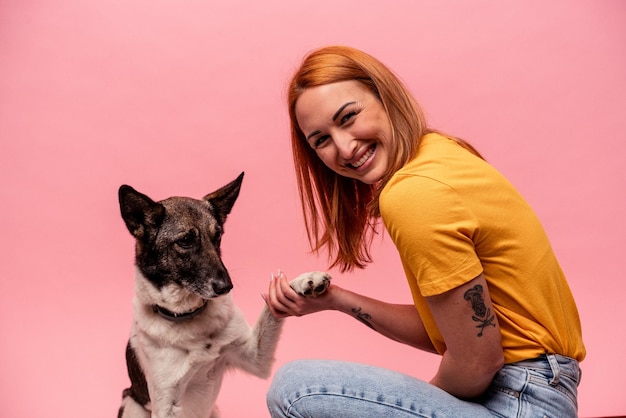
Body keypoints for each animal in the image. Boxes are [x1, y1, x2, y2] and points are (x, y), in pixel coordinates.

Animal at [118, 171, 332, 416]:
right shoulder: (165, 403)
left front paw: (304, 281)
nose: (226, 286)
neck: (188, 315)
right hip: (132, 406)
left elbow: (269, 307)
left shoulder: (255, 356)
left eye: (218, 236)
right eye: (185, 241)